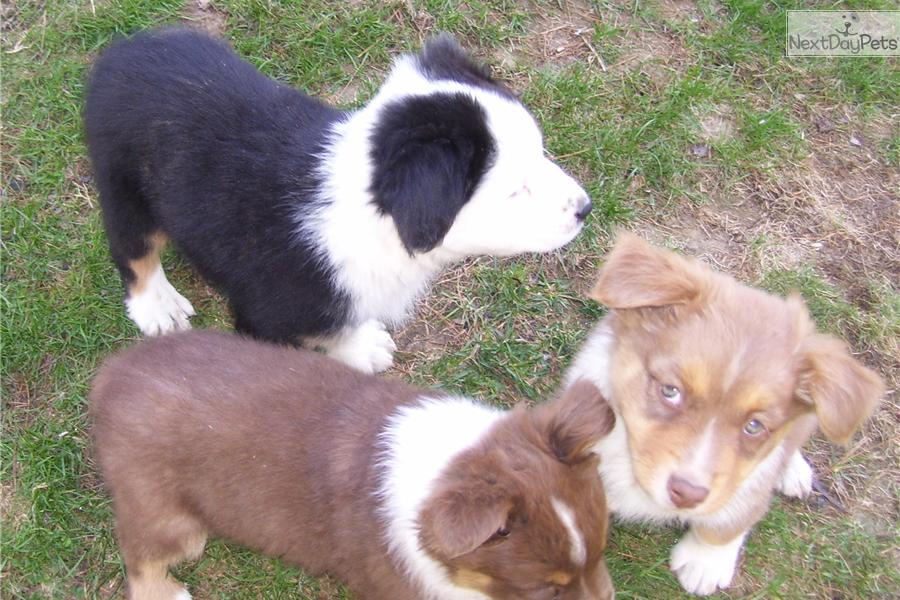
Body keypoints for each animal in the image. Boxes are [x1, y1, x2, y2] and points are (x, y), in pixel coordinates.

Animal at [82, 31, 592, 376]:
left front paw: (362, 346)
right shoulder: (268, 311)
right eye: (515, 190)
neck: (376, 219)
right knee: (133, 249)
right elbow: (311, 338)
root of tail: (119, 52)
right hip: (124, 183)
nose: (586, 208)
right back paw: (157, 308)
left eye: (541, 151)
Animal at [568, 233, 884, 596]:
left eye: (754, 426)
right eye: (670, 391)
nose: (687, 494)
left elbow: (731, 519)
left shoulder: (750, 478)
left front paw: (705, 563)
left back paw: (795, 472)